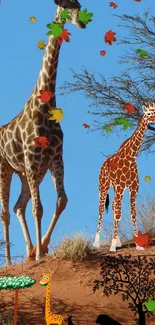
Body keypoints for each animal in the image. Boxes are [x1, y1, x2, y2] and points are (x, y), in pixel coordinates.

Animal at [0, 0, 86, 264]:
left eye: (80, 5)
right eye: (66, 6)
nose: (81, 22)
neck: (45, 106)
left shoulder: (55, 157)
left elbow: (61, 200)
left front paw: (43, 247)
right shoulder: (32, 158)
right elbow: (38, 208)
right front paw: (39, 253)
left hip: (26, 173)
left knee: (18, 206)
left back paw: (29, 250)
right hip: (7, 168)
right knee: (6, 211)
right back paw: (10, 261)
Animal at [92, 102, 155, 252]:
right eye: (149, 113)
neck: (131, 157)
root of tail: (103, 163)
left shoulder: (134, 187)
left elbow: (132, 212)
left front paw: (138, 244)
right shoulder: (121, 186)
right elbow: (118, 213)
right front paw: (112, 246)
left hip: (115, 188)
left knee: (113, 205)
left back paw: (118, 241)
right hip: (103, 185)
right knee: (102, 209)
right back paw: (96, 243)